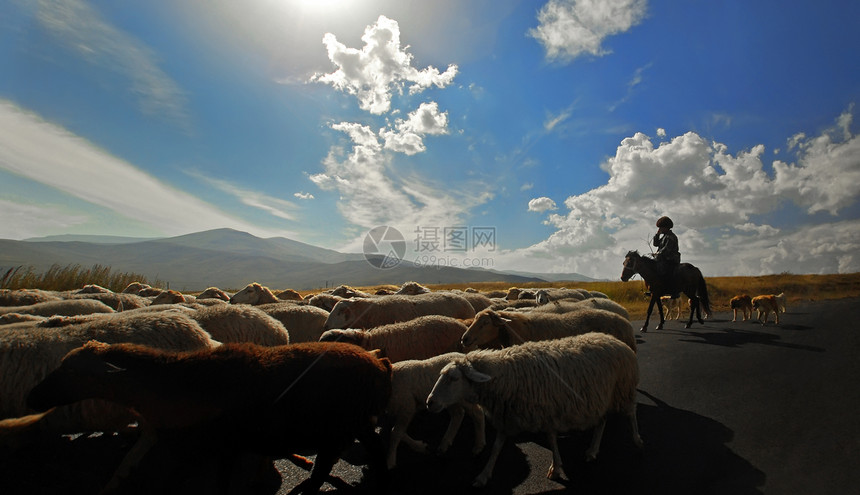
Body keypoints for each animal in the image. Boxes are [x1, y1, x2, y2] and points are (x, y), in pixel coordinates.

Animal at [426, 334, 640, 488]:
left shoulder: (547, 412)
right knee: (602, 421)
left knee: (631, 413)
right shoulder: (508, 416)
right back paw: (592, 451)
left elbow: (552, 440)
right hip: (603, 397)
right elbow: (496, 448)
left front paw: (555, 468)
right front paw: (483, 475)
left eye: (453, 378)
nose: (430, 402)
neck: (506, 375)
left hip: (624, 389)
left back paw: (637, 440)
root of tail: (616, 340)